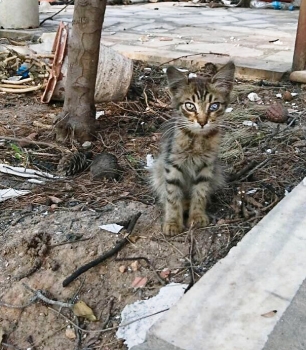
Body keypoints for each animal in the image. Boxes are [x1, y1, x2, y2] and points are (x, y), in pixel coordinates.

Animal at [150, 60, 234, 235]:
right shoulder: (173, 164)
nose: (202, 122)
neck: (197, 140)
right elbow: (172, 196)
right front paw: (173, 222)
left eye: (214, 106)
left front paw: (197, 216)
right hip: (158, 169)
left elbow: (200, 192)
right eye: (190, 106)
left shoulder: (207, 165)